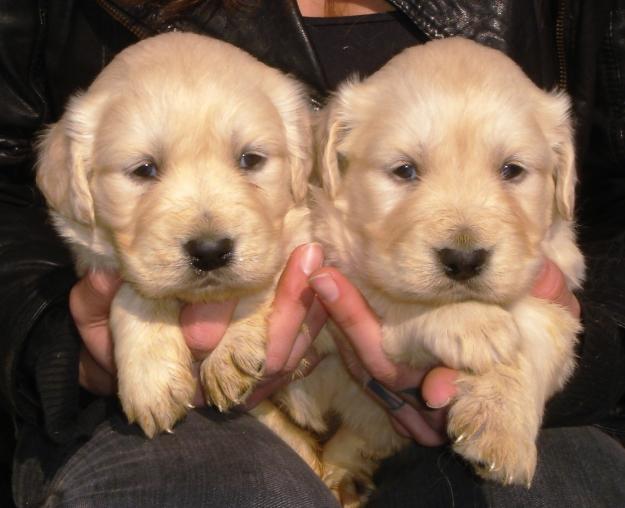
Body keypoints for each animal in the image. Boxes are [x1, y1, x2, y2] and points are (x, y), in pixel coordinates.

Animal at [36, 31, 314, 438]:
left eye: (250, 159)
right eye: (144, 170)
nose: (211, 251)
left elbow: (264, 275)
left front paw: (231, 351)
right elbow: (132, 293)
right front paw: (151, 378)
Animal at [276, 36, 584, 504]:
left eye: (512, 170)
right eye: (405, 170)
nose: (463, 260)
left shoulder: (554, 274)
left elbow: (540, 334)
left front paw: (502, 427)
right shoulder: (328, 254)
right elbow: (389, 291)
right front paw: (471, 321)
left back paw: (346, 475)